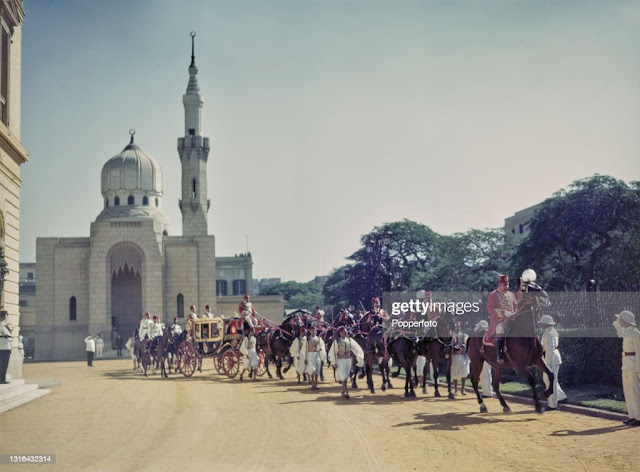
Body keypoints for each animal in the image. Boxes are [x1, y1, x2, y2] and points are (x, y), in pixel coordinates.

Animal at [468, 284, 552, 412]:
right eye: (529, 287)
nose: (545, 295)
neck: (525, 333)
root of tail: (472, 336)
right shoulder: (519, 364)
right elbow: (532, 380)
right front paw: (538, 406)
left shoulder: (537, 360)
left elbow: (551, 374)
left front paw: (546, 393)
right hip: (477, 362)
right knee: (474, 381)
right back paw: (482, 405)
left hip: (497, 366)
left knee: (495, 385)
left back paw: (505, 405)